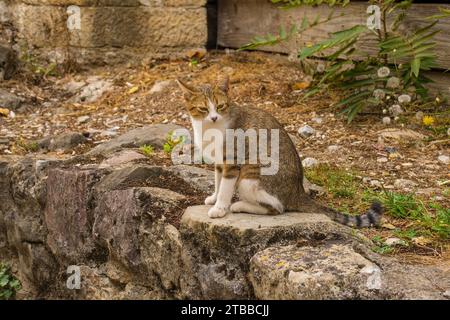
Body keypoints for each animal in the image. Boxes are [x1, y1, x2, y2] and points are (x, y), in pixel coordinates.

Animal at [178, 77, 382, 228]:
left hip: (249, 177)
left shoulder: (233, 161)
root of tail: (298, 191)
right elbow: (218, 182)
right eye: (203, 109)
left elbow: (225, 188)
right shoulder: (220, 163)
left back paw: (239, 205)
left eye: (220, 106)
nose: (213, 117)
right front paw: (213, 198)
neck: (209, 129)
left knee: (277, 208)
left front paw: (220, 208)